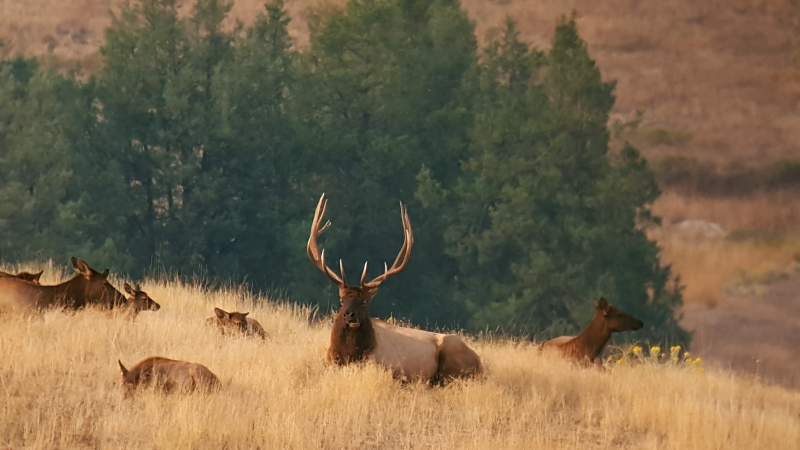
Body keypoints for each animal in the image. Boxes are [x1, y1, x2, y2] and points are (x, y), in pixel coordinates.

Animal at [306, 192, 482, 384]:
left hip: (453, 354)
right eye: (341, 299)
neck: (349, 354)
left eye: (365, 301)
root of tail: (480, 363)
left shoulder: (392, 369)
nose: (349, 315)